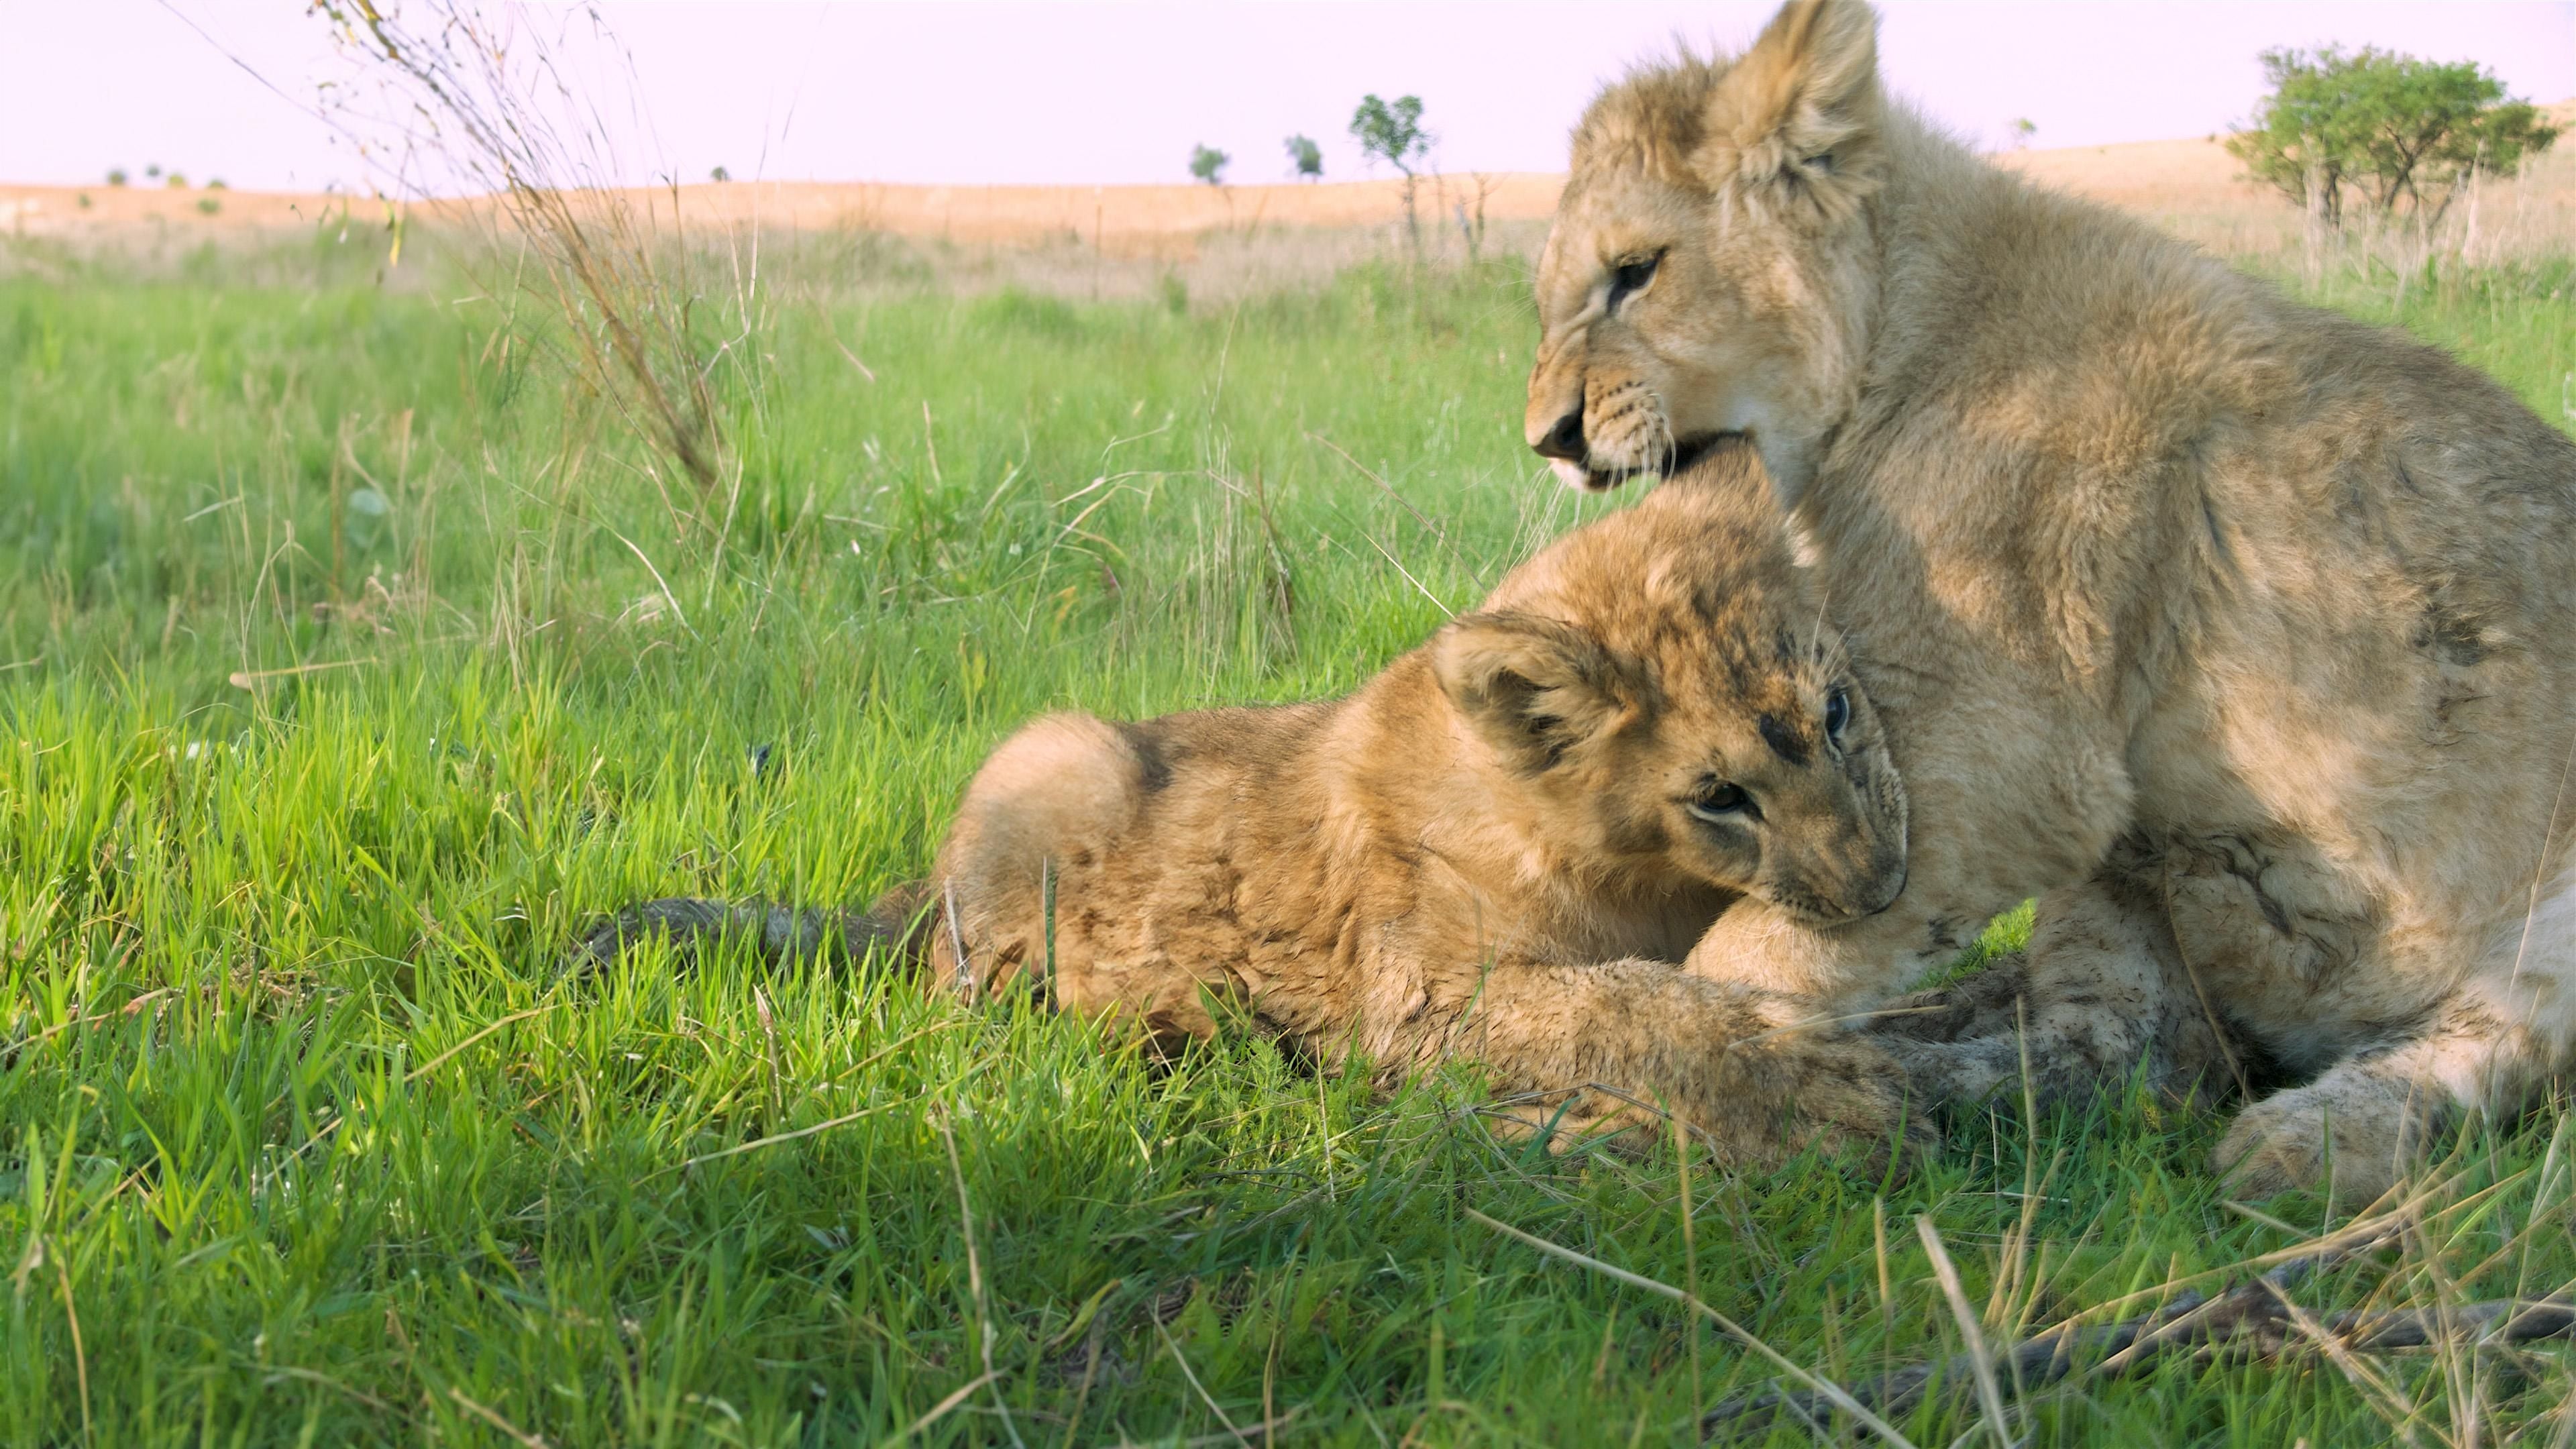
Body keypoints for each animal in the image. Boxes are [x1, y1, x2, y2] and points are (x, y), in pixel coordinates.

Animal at [578, 447, 1927, 1167]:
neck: (1636, 871)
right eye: (1720, 795)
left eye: (1838, 713)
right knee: (958, 1001)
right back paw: (1177, 1024)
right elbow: (1621, 1008)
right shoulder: (1422, 998)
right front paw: (1821, 1086)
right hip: (1055, 756)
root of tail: (902, 894)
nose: (1881, 885)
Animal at [1524, 0, 2576, 1202]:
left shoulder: (2003, 759)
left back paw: (2318, 1139)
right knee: (2118, 1055)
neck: (1894, 338)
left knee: (2484, 1051)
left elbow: (1747, 952)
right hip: (2137, 877)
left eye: (1635, 271)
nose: (1547, 438)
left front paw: (1683, 1102)